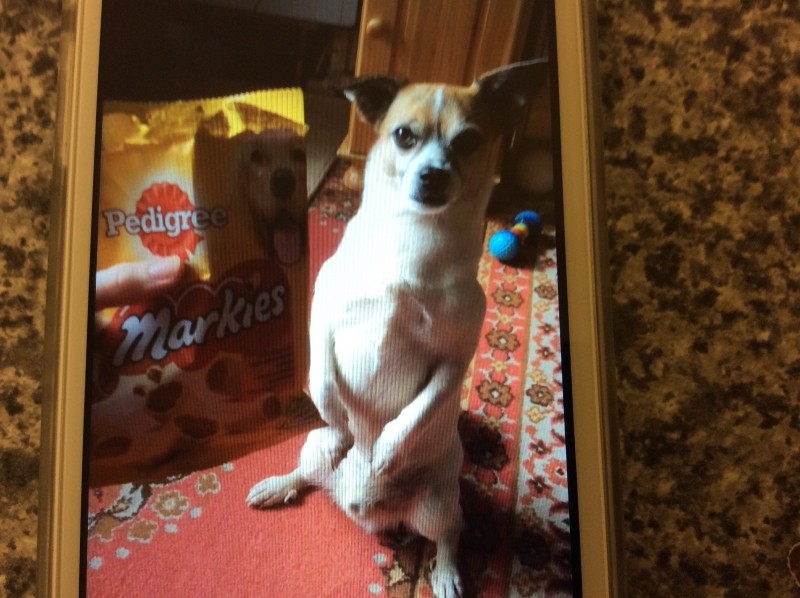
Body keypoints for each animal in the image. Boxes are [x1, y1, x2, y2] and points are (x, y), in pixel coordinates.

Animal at [247, 60, 546, 598]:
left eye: (469, 141)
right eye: (405, 135)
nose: (432, 176)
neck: (412, 239)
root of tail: (364, 513)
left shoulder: (453, 360)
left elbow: (415, 412)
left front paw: (385, 450)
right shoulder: (325, 309)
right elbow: (324, 374)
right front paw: (334, 411)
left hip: (434, 502)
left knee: (451, 533)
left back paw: (445, 573)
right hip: (316, 447)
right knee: (308, 473)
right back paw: (279, 485)